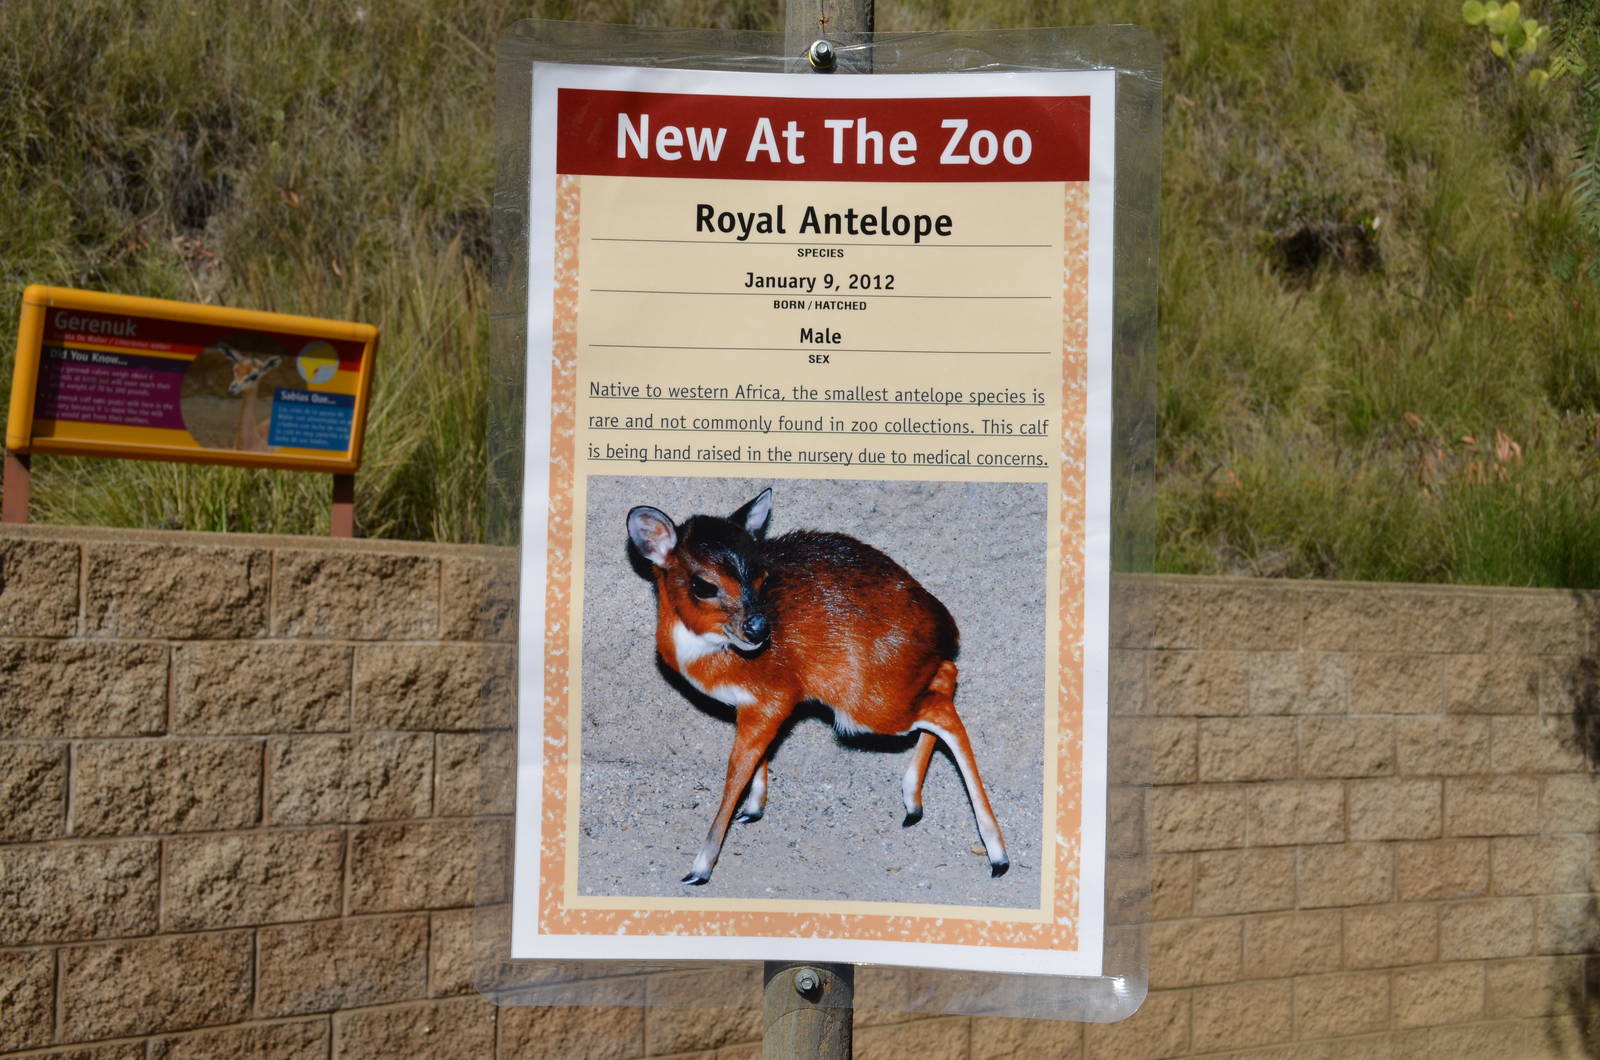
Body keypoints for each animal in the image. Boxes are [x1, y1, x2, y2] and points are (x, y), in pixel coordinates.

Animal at [626, 488, 1008, 885]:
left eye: (763, 577)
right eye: (703, 585)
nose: (759, 630)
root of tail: (947, 627)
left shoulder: (773, 698)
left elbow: (736, 768)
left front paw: (700, 867)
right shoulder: (753, 707)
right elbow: (756, 757)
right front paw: (754, 807)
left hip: (865, 708)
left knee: (942, 708)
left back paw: (996, 855)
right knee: (946, 674)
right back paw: (914, 805)